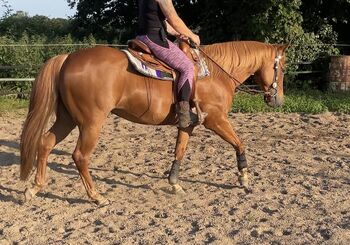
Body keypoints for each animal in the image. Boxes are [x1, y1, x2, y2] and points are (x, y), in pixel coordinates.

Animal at [19, 40, 288, 205]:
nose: (278, 100)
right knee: (80, 156)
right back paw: (97, 197)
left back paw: (34, 188)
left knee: (45, 143)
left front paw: (174, 184)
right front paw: (244, 178)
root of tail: (67, 58)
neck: (215, 74)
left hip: (67, 119)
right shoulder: (215, 119)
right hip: (90, 123)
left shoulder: (187, 124)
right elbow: (239, 143)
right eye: (282, 68)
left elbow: (179, 151)